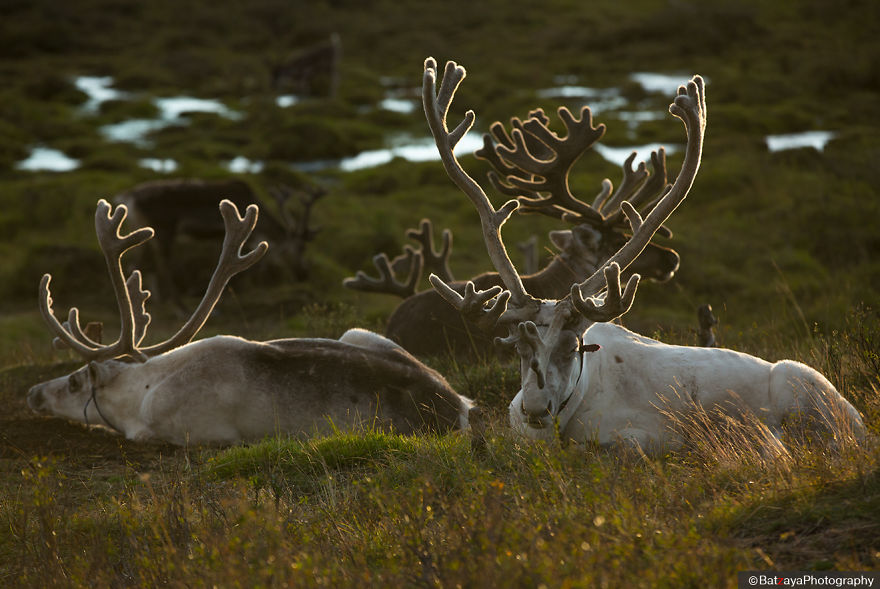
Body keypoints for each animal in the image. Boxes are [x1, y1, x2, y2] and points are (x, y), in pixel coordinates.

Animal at [26, 198, 471, 445]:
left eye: (74, 381)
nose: (32, 392)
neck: (143, 389)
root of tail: (458, 404)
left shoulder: (190, 432)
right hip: (360, 333)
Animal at [113, 178, 323, 304]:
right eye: (301, 247)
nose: (304, 274)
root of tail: (128, 195)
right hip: (164, 228)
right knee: (162, 264)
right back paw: (178, 305)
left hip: (144, 230)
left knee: (139, 263)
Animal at [421, 58, 866, 454]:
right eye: (518, 348)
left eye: (571, 347)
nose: (535, 408)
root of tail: (860, 421)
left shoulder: (648, 437)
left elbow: (601, 448)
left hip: (801, 384)